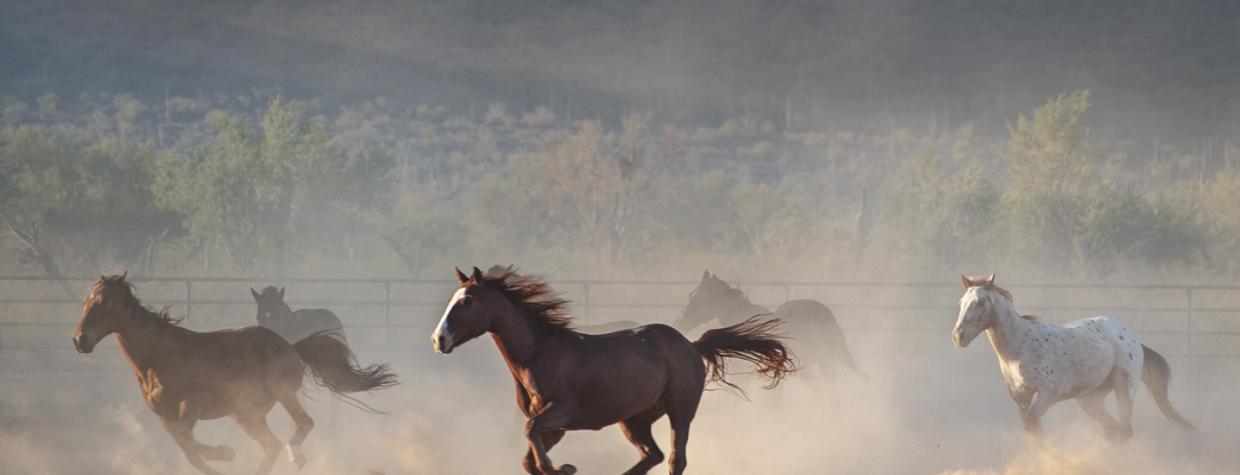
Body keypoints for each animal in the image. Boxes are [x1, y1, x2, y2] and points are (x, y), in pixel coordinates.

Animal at [72, 273, 398, 475]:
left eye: (103, 303)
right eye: (85, 302)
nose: (79, 340)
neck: (157, 358)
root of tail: (291, 345)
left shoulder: (191, 407)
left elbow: (190, 441)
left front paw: (225, 453)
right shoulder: (164, 417)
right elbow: (190, 453)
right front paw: (219, 456)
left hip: (281, 394)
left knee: (303, 424)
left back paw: (297, 455)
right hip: (246, 414)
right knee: (271, 445)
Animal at [431, 267, 796, 475]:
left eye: (468, 301)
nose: (439, 339)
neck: (540, 353)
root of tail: (692, 345)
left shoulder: (561, 414)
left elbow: (531, 436)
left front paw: (563, 467)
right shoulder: (555, 427)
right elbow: (529, 457)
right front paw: (561, 467)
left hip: (679, 412)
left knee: (675, 459)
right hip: (634, 420)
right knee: (652, 455)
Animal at [953, 274, 1195, 441]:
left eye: (980, 302)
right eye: (961, 302)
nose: (958, 336)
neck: (1020, 346)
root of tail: (1131, 336)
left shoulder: (1047, 394)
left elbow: (1034, 425)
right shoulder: (1021, 399)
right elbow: (1033, 432)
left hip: (1124, 388)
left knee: (1124, 431)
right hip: (1090, 398)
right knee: (1111, 429)